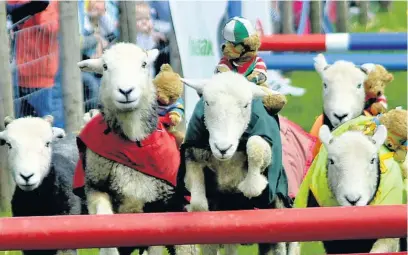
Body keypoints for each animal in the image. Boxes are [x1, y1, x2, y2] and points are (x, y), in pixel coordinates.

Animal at [75, 42, 198, 255]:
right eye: (105, 67)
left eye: (143, 64)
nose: (126, 91)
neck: (133, 141)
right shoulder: (95, 187)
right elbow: (105, 223)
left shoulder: (159, 205)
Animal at [180, 71, 298, 255]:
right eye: (206, 102)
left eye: (246, 105)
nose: (223, 148)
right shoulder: (193, 151)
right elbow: (199, 205)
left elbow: (255, 144)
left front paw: (252, 186)